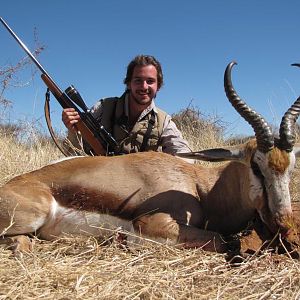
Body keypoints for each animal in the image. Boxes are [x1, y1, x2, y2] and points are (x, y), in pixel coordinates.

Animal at [0, 62, 298, 254]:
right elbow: (223, 241)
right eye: (256, 166)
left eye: (291, 167)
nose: (284, 223)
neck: (200, 188)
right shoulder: (153, 224)